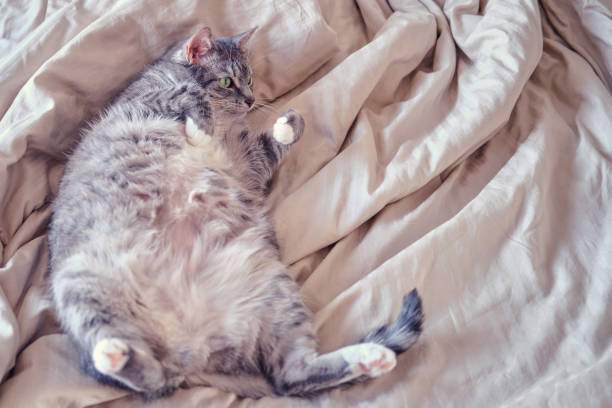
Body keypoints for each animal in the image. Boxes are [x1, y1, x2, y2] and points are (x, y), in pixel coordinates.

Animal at [47, 25, 424, 398]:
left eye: (251, 79)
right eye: (228, 81)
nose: (250, 100)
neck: (224, 118)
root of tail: (193, 350)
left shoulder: (246, 161)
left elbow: (288, 130)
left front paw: (286, 124)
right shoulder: (152, 99)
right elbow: (191, 97)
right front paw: (200, 129)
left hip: (276, 292)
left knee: (291, 376)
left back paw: (373, 357)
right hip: (80, 284)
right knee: (147, 376)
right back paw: (113, 354)